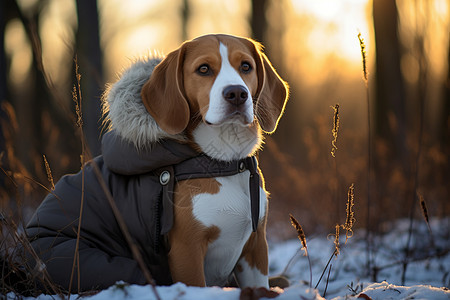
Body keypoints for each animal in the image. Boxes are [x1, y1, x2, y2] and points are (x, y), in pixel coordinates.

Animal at [141, 34, 288, 288]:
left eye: (246, 66)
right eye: (203, 69)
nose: (237, 93)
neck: (226, 164)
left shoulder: (256, 248)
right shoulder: (186, 253)